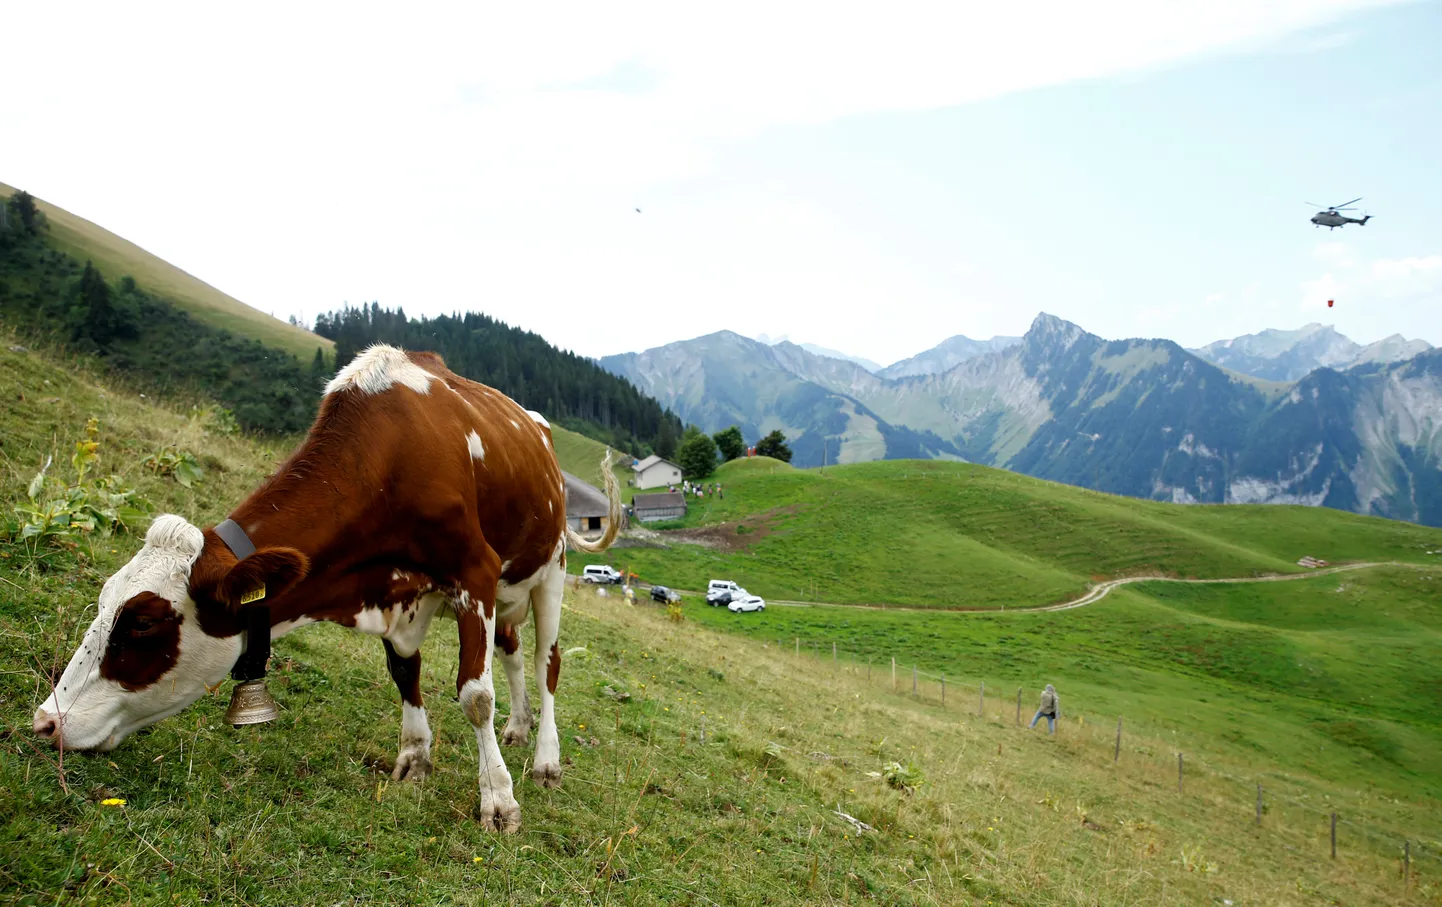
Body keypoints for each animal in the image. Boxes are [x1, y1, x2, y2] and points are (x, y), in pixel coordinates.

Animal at [32, 343, 620, 830]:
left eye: (142, 623)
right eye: (105, 603)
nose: (46, 723)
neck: (391, 461)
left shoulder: (474, 571)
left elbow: (475, 696)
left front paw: (498, 798)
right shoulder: (398, 593)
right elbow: (405, 672)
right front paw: (414, 757)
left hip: (550, 569)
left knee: (546, 663)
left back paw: (545, 760)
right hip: (509, 589)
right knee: (514, 653)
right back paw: (518, 728)